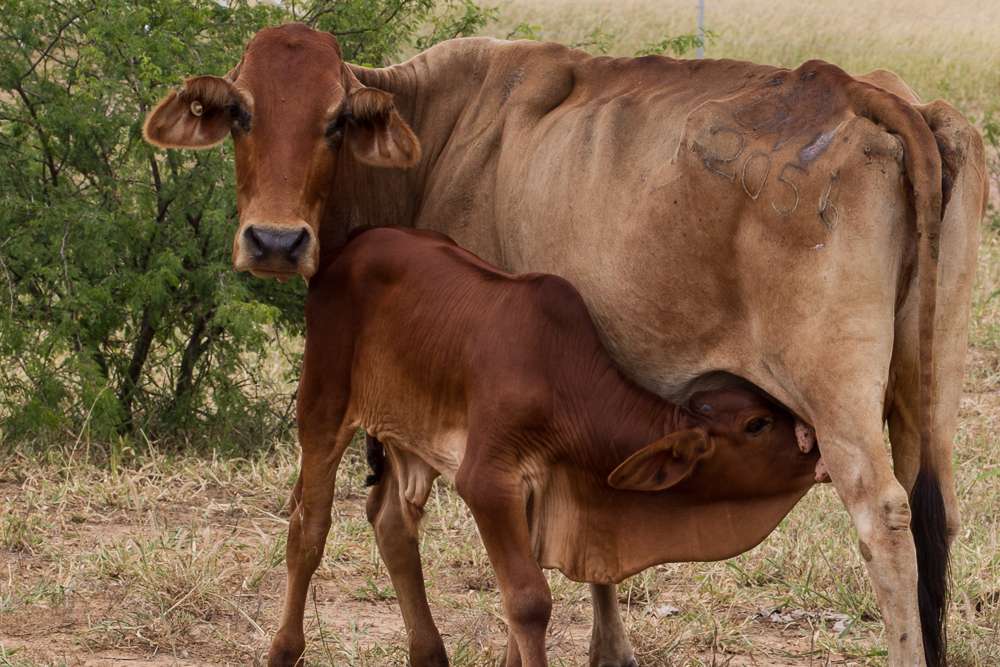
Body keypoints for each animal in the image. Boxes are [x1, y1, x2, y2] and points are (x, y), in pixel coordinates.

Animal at [268, 227, 820, 664]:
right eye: (757, 423)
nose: (815, 444)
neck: (564, 384)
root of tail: (348, 245)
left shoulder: (536, 488)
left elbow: (519, 606)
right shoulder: (488, 481)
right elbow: (530, 601)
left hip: (411, 433)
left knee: (392, 525)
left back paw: (428, 654)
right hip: (323, 402)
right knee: (308, 529)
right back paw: (285, 649)